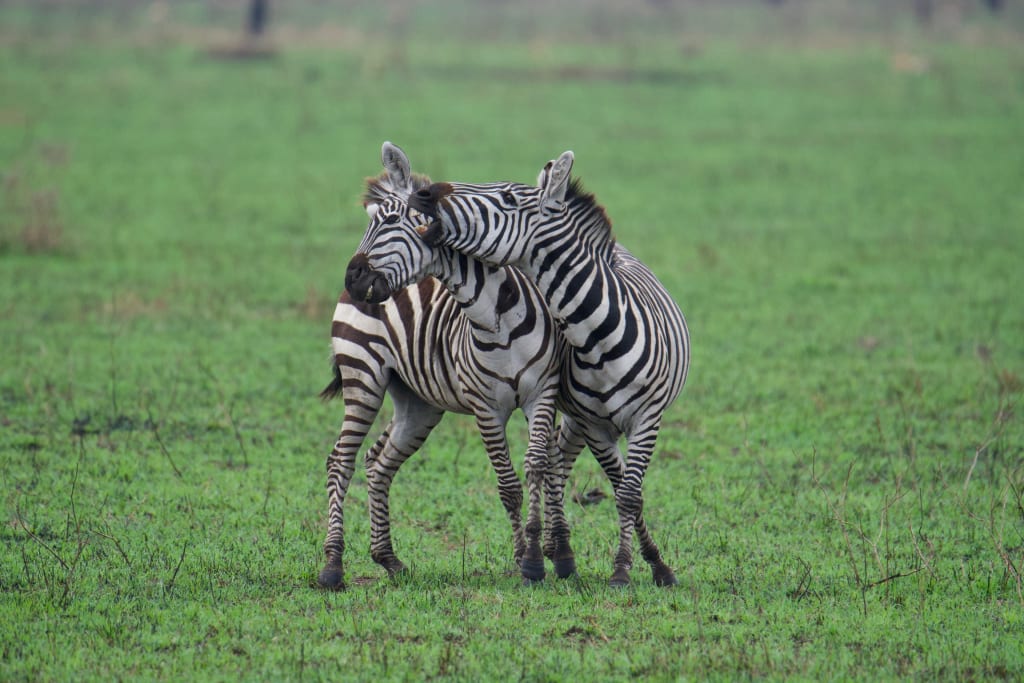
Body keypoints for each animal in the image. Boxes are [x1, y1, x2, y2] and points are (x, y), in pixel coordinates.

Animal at [320, 143, 568, 588]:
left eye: (391, 220)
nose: (353, 278)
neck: (498, 317)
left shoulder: (542, 392)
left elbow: (546, 464)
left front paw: (552, 552)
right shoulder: (486, 407)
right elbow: (509, 484)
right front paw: (526, 558)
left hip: (418, 402)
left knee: (378, 462)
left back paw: (388, 558)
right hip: (363, 375)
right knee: (340, 462)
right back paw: (332, 566)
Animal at [407, 151, 690, 587]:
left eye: (508, 197)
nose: (422, 192)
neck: (597, 338)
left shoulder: (647, 418)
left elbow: (628, 493)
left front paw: (631, 568)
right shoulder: (593, 424)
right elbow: (617, 486)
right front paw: (615, 563)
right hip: (573, 415)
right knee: (560, 462)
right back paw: (559, 551)